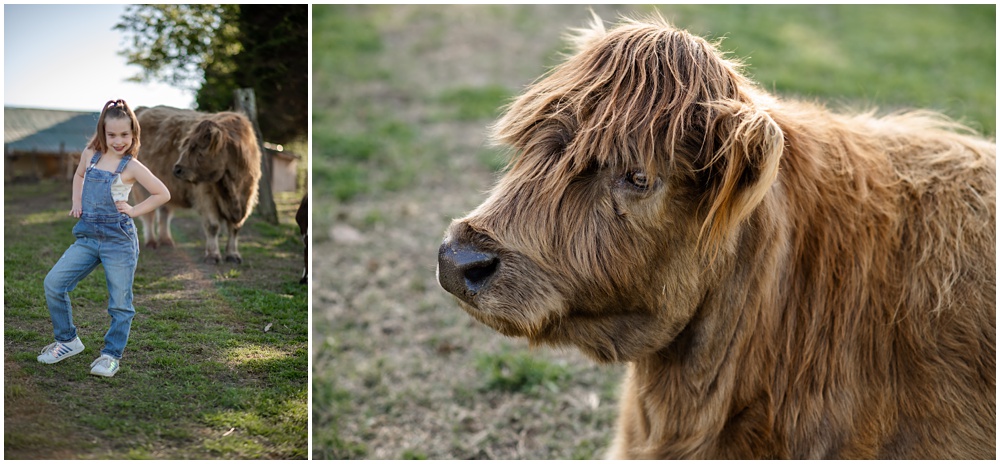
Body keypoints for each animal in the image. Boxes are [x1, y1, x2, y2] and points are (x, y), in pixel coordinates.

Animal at [133, 106, 262, 264]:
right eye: (185, 145)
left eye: (198, 147)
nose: (176, 169)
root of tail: (144, 109)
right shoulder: (205, 195)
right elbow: (213, 226)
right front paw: (213, 255)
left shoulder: (247, 197)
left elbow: (235, 228)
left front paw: (233, 255)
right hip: (142, 187)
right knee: (148, 215)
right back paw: (151, 242)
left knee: (164, 212)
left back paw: (166, 240)